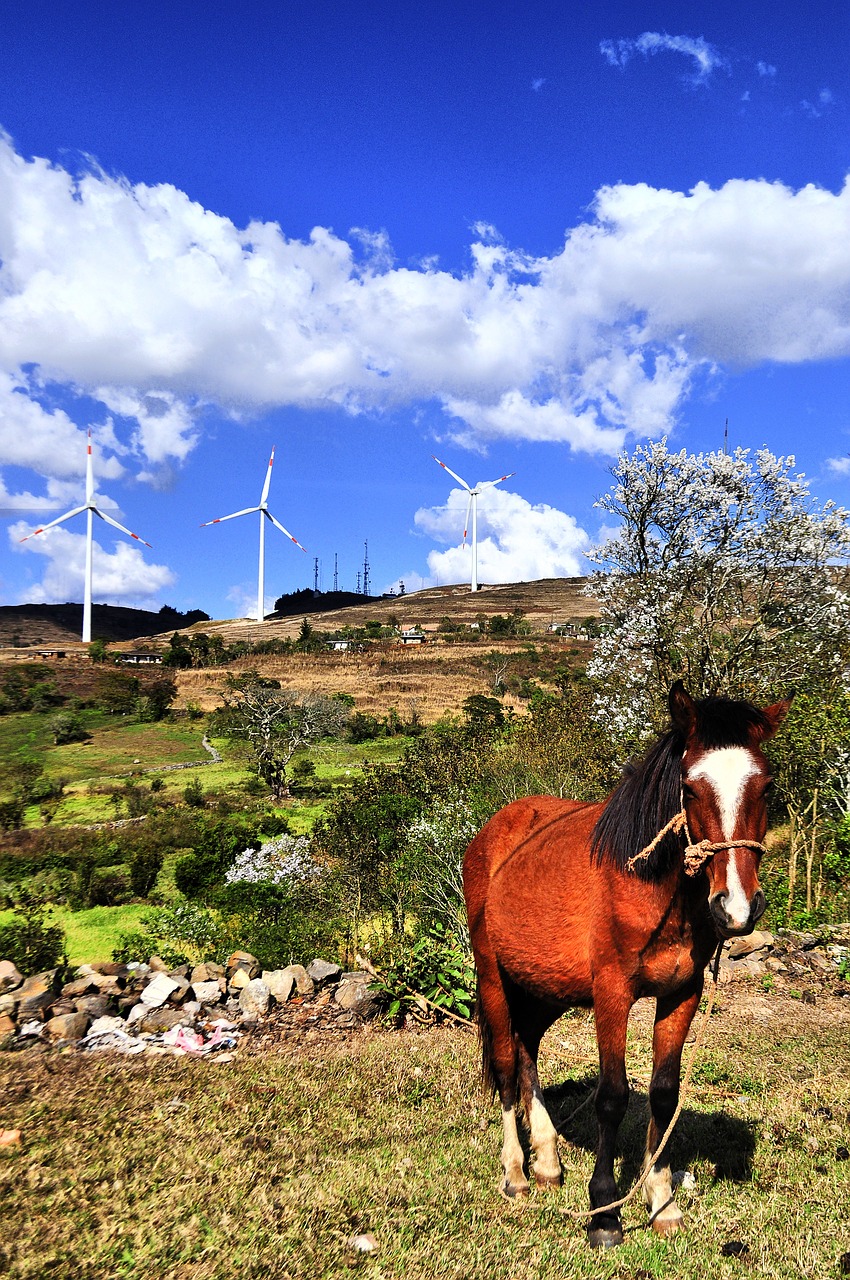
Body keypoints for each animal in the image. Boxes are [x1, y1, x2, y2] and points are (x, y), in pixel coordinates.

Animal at [465, 686, 788, 1244]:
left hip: (546, 989)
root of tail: (493, 832)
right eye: (689, 787)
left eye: (764, 786)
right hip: (494, 979)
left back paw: (547, 1160)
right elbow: (612, 1097)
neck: (646, 883)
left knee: (528, 1051)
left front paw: (661, 1202)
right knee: (507, 1065)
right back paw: (516, 1173)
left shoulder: (681, 995)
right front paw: (604, 1211)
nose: (737, 908)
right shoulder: (611, 994)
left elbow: (663, 1095)